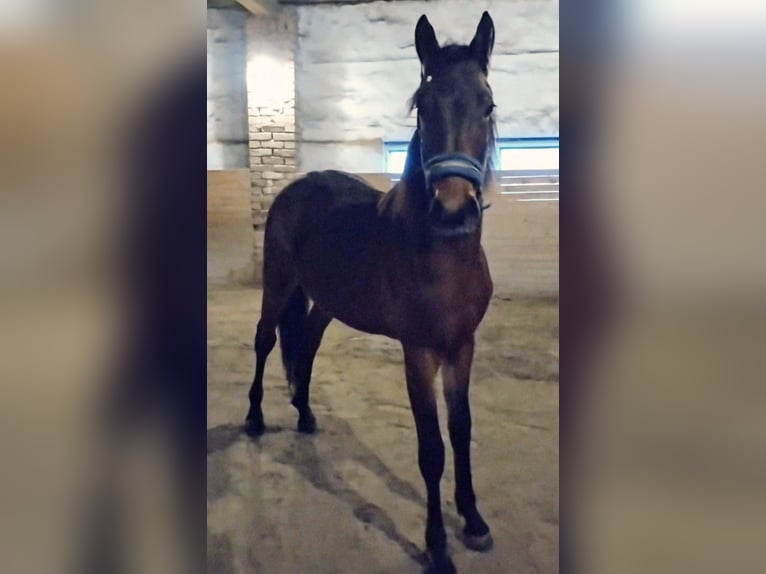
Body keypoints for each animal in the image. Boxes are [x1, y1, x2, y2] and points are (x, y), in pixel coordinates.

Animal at [244, 11, 498, 572]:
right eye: (423, 106)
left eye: (487, 105)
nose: (453, 211)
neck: (440, 256)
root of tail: (297, 187)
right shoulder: (419, 352)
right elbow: (432, 449)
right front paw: (437, 546)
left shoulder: (463, 347)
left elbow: (463, 430)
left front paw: (473, 521)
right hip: (278, 284)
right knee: (265, 341)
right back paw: (253, 419)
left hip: (325, 303)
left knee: (306, 346)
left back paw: (306, 415)